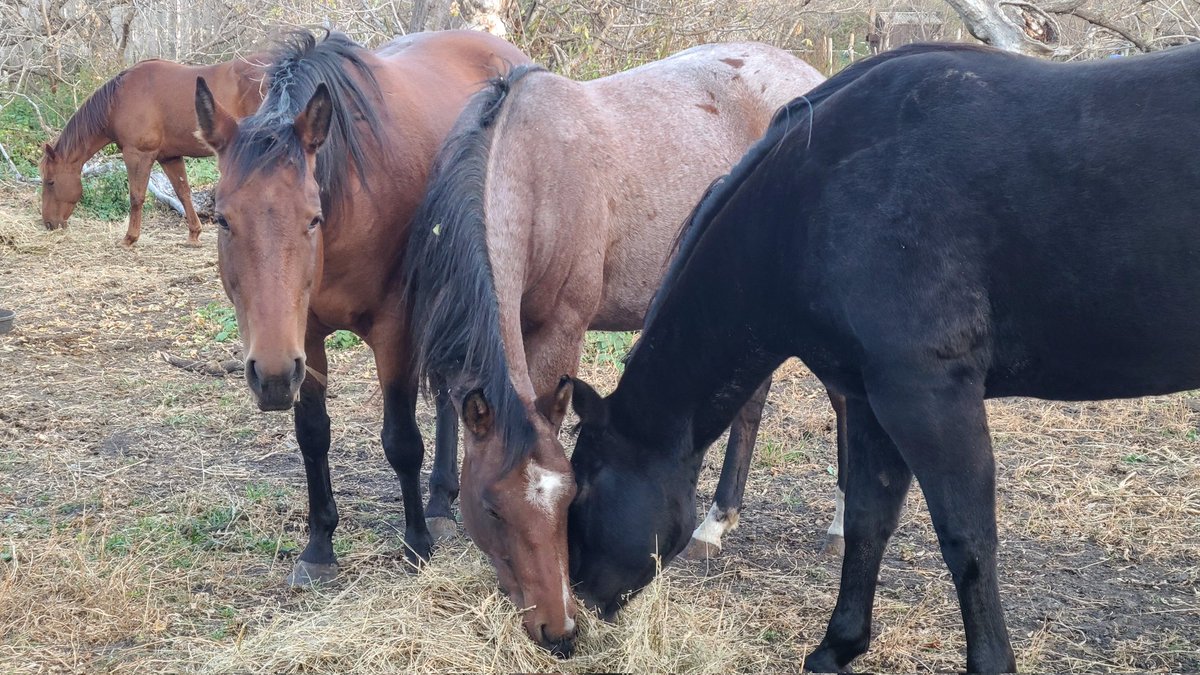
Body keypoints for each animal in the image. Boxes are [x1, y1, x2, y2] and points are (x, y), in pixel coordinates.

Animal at [40, 54, 267, 246]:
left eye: (50, 182)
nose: (49, 223)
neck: (118, 101)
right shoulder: (169, 157)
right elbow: (183, 193)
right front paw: (194, 234)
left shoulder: (138, 154)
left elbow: (136, 195)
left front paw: (130, 238)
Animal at [191, 28, 541, 640]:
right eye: (222, 220)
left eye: (312, 217)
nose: (268, 376)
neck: (349, 193)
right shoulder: (303, 339)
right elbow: (312, 436)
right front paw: (319, 548)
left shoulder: (393, 329)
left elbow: (401, 440)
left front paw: (417, 546)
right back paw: (441, 501)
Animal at [404, 44, 826, 654]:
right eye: (492, 509)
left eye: (569, 501)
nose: (558, 628)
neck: (532, 172)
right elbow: (450, 402)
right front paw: (438, 508)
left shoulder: (562, 328)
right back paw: (718, 522)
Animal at [565, 41, 1200, 672]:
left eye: (586, 485)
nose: (573, 613)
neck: (826, 193)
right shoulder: (873, 399)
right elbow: (868, 520)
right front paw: (837, 646)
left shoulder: (928, 398)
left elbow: (967, 538)